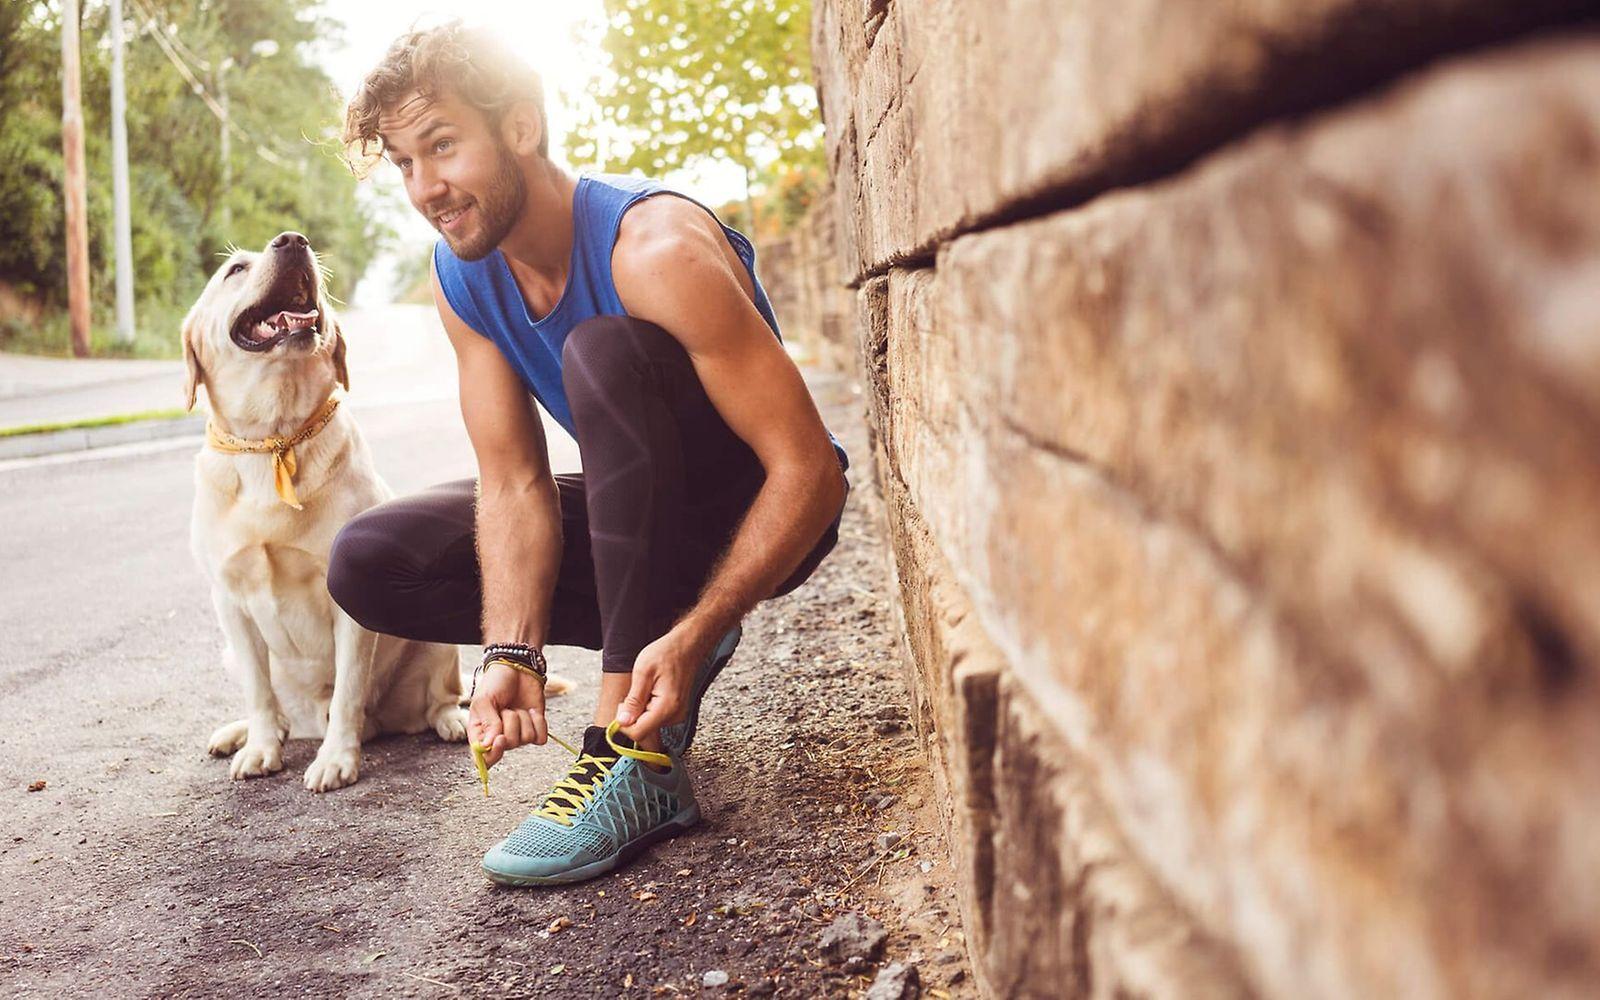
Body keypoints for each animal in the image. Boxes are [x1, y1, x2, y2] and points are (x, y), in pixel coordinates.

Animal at [184, 230, 467, 790]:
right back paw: (241, 732)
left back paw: (452, 721)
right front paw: (260, 748)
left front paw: (337, 758)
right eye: (235, 270)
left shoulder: (348, 604)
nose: (293, 240)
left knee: (439, 697)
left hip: (434, 642)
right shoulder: (228, 601)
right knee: (277, 709)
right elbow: (259, 690)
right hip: (231, 652)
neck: (273, 437)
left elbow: (349, 689)